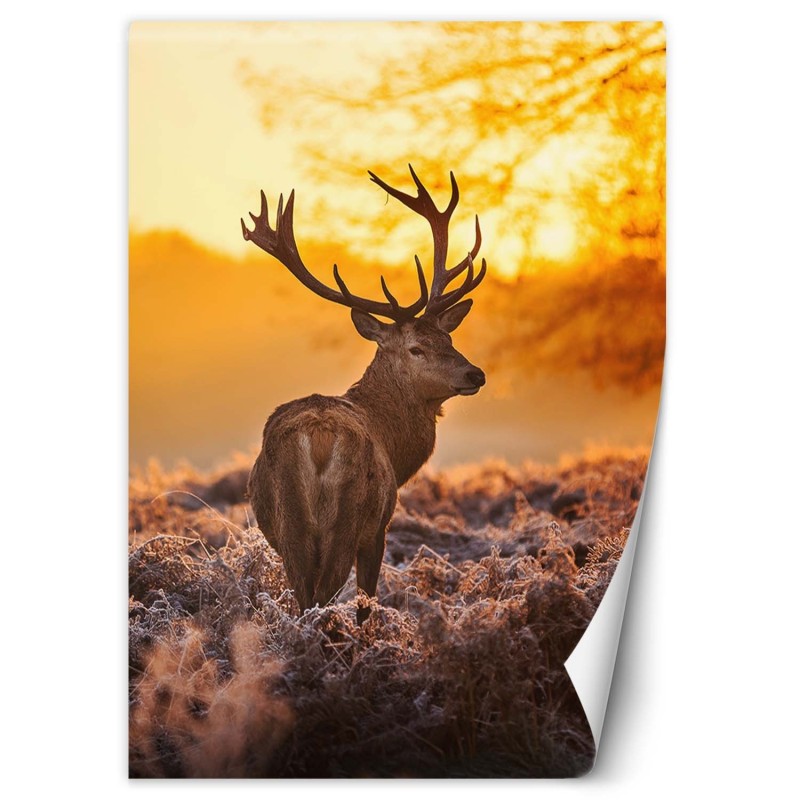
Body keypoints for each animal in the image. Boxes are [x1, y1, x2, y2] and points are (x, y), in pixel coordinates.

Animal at [241, 165, 487, 623]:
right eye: (416, 348)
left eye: (448, 337)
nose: (475, 373)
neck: (395, 444)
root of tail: (318, 437)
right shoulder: (380, 528)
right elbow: (366, 602)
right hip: (349, 517)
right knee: (324, 595)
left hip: (289, 525)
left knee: (304, 596)